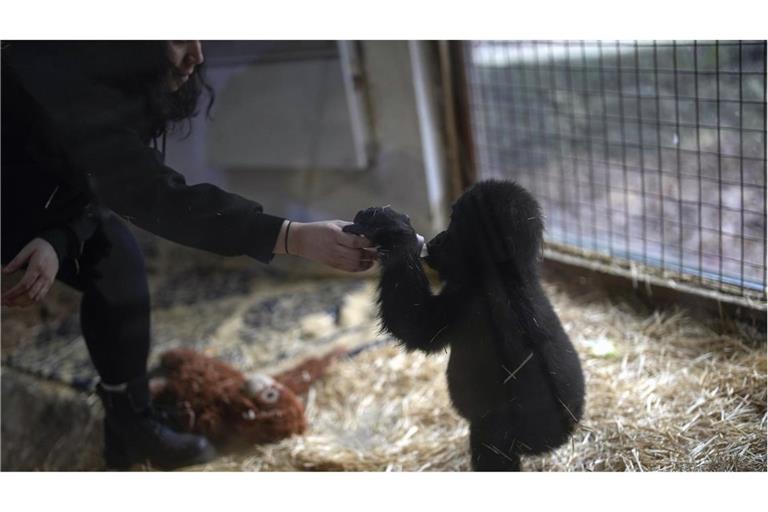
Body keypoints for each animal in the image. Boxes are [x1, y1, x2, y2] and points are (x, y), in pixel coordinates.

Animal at [344, 181, 584, 472]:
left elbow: (414, 325)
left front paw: (394, 234)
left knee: (491, 437)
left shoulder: (471, 302)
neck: (506, 272)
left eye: (455, 224)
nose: (438, 238)